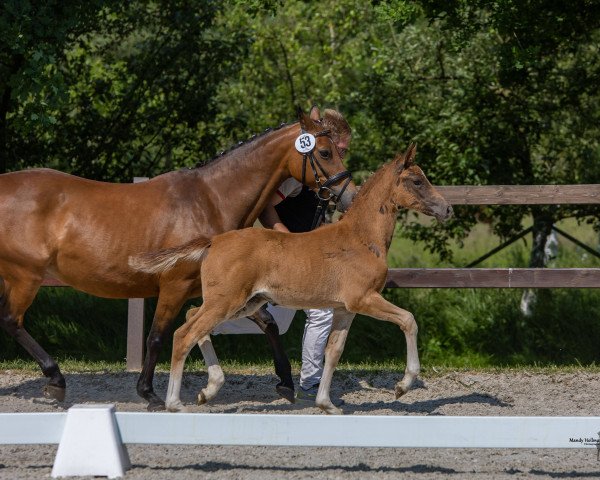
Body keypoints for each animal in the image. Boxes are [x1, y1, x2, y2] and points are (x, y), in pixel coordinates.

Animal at [0, 105, 356, 408]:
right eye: (325, 152)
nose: (349, 195)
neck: (210, 200)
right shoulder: (175, 285)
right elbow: (158, 336)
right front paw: (150, 393)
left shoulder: (224, 290)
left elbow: (263, 323)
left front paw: (283, 383)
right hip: (26, 276)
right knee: (11, 321)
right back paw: (56, 380)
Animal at [131, 144, 450, 414]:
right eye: (417, 181)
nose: (447, 208)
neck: (361, 238)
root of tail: (214, 241)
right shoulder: (364, 299)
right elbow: (408, 320)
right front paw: (403, 386)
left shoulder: (345, 309)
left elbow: (333, 351)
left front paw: (326, 404)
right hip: (226, 302)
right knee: (183, 334)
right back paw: (174, 403)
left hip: (242, 303)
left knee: (192, 317)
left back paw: (208, 390)